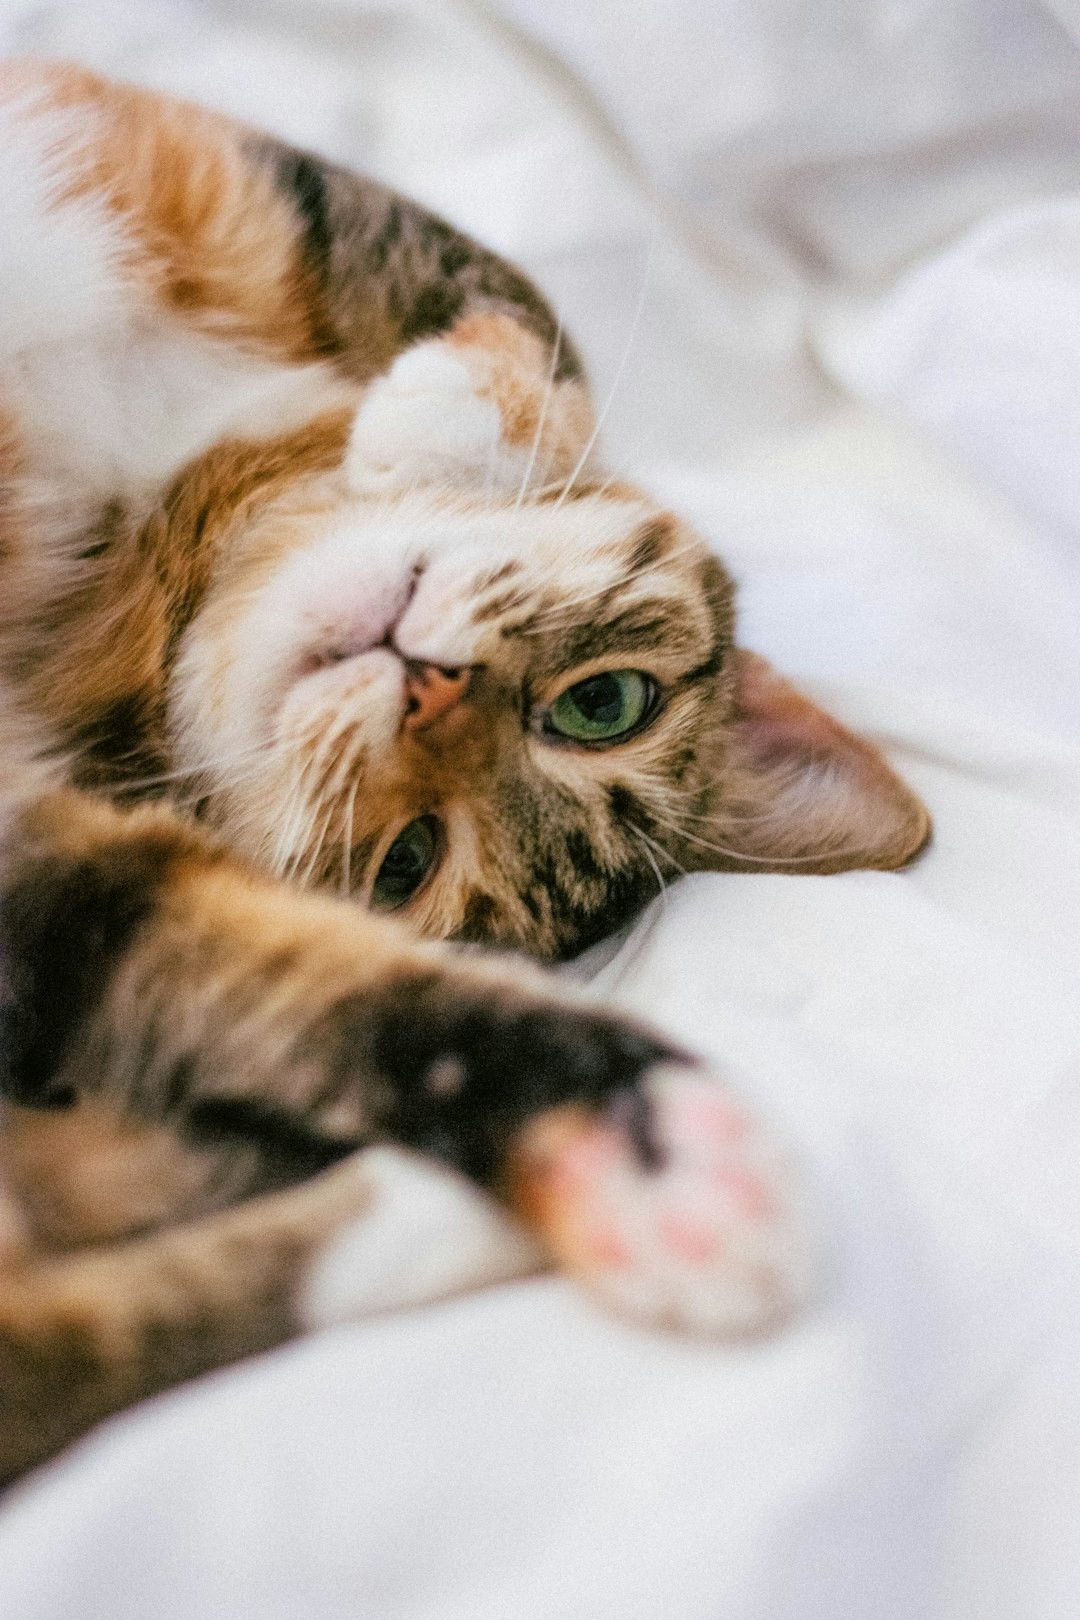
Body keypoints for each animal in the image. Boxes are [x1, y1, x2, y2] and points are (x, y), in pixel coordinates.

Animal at [0, 59, 932, 1483]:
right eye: (605, 705)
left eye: (408, 864)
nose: (427, 688)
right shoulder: (248, 181)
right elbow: (532, 312)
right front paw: (435, 420)